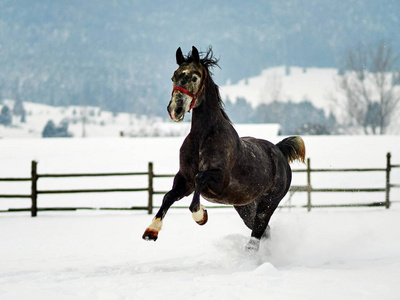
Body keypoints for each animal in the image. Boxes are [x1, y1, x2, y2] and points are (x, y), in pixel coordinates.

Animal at [142, 45, 304, 251]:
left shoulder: (219, 182)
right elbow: (168, 197)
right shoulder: (184, 180)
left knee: (258, 232)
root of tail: (278, 151)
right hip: (245, 206)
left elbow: (199, 181)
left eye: (194, 77)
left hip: (268, 203)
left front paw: (201, 216)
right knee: (264, 231)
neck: (202, 138)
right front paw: (151, 231)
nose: (175, 110)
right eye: (174, 77)